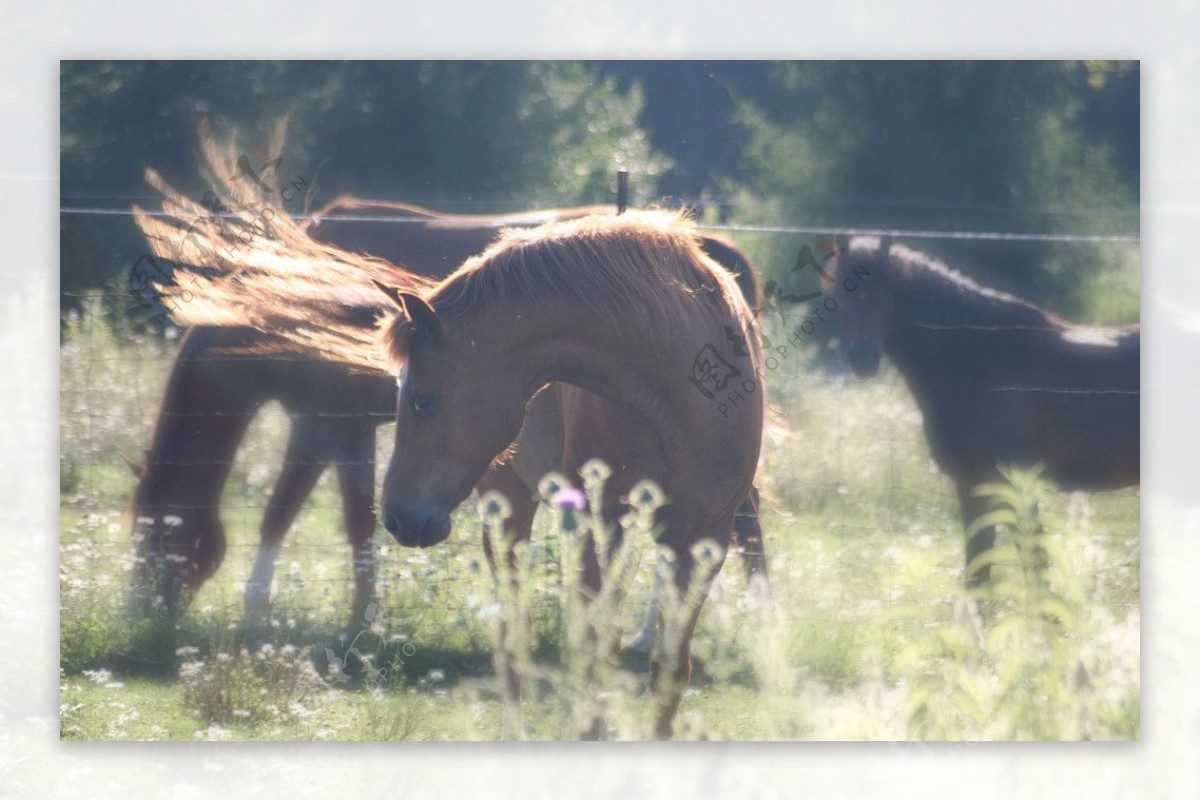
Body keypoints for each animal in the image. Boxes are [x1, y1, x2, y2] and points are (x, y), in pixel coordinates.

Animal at [830, 235, 1137, 585]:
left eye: (887, 289)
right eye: (840, 290)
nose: (863, 358)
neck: (983, 362)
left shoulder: (1010, 485)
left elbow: (1032, 568)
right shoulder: (971, 485)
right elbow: (979, 573)